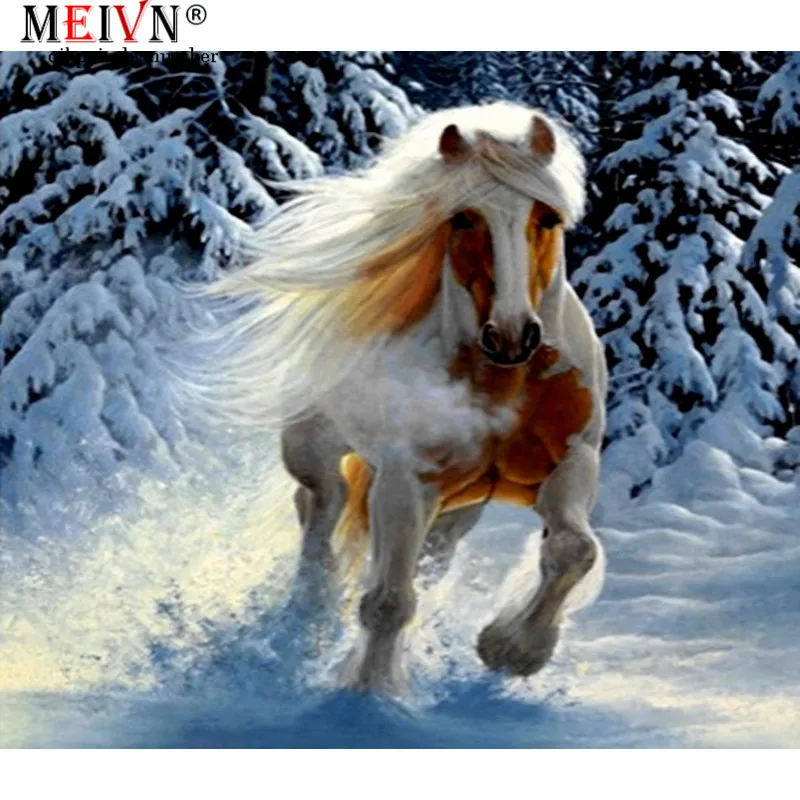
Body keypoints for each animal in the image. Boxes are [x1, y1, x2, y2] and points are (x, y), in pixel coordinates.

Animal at [195, 102, 608, 692]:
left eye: (547, 217)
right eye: (463, 218)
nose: (512, 336)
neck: (503, 382)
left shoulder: (572, 461)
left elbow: (573, 549)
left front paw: (512, 649)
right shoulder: (406, 478)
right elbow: (388, 601)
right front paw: (368, 692)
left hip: (459, 503)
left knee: (420, 552)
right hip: (316, 450)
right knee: (321, 509)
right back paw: (311, 612)